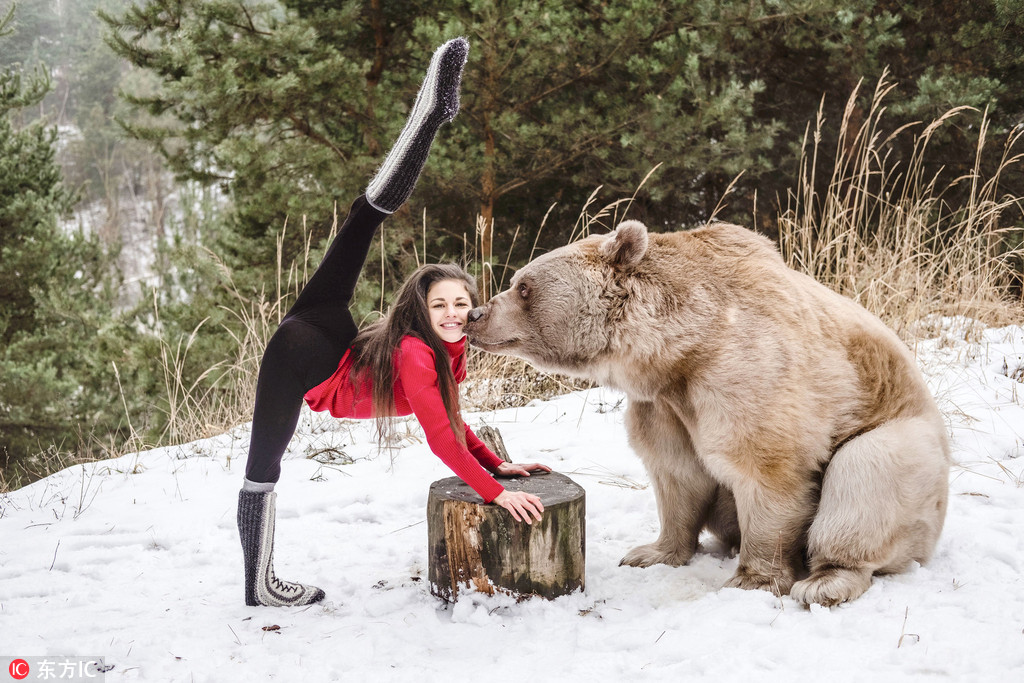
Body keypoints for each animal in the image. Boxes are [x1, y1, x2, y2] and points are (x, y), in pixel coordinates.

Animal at [464, 220, 950, 610]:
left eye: (523, 286)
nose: (475, 313)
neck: (681, 350)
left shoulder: (747, 374)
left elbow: (767, 471)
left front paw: (752, 580)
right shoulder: (663, 405)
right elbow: (677, 473)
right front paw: (649, 553)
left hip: (905, 446)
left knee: (865, 476)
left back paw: (826, 581)